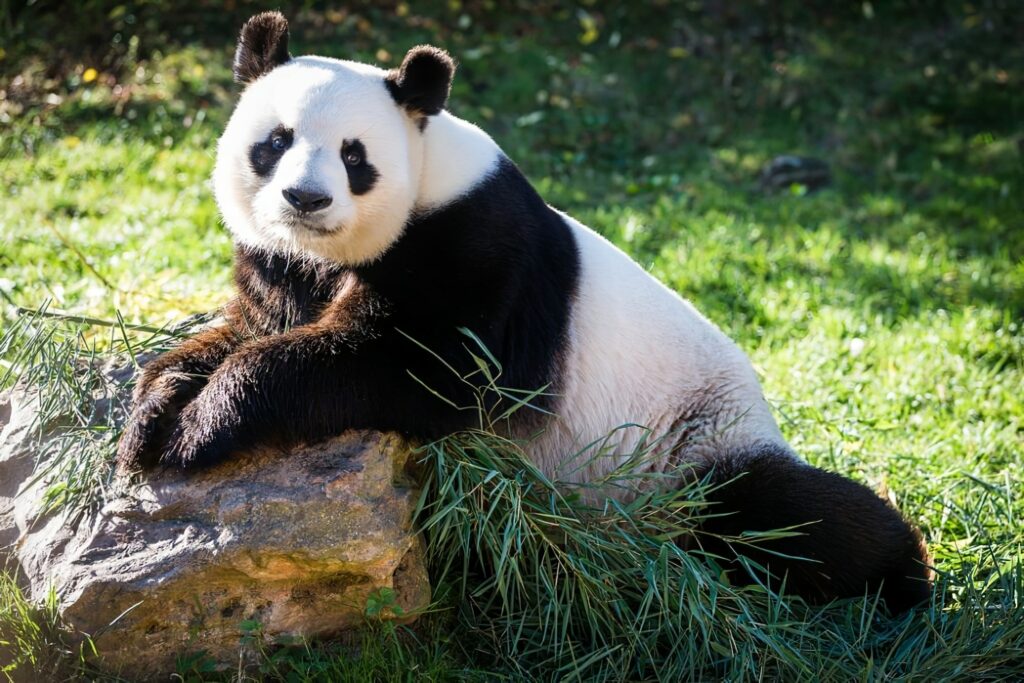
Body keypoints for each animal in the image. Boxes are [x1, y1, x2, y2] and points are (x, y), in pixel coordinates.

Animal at [116, 12, 933, 610]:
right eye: (276, 141)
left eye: (354, 155)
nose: (305, 199)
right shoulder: (282, 264)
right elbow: (248, 327)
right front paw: (154, 412)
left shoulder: (473, 245)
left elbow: (417, 365)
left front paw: (199, 427)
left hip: (690, 442)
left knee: (787, 516)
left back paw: (901, 579)